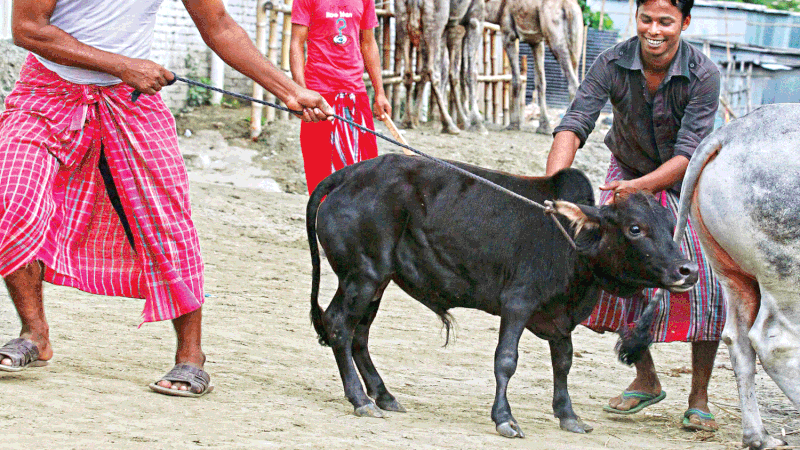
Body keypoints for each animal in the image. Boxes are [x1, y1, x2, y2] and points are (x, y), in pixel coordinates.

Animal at [676, 103, 800, 450]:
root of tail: (729, 134)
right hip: (785, 273)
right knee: (777, 344)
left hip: (733, 275)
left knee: (738, 339)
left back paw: (758, 436)